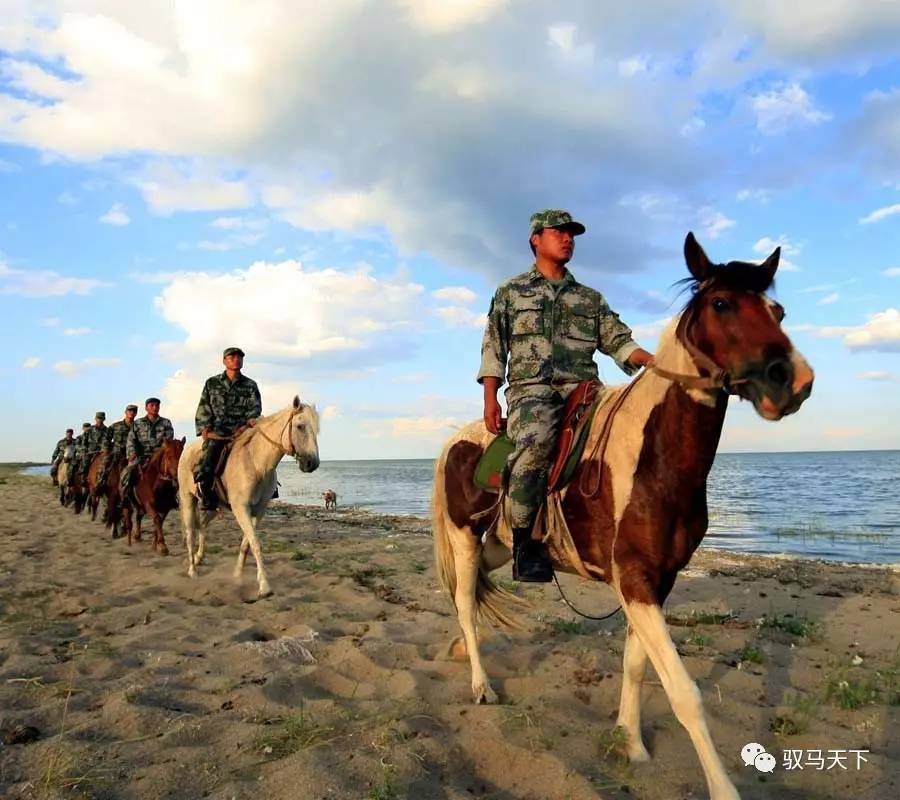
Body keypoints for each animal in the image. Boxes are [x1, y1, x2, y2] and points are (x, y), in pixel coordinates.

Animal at [176, 396, 320, 596]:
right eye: (300, 426)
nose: (312, 463)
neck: (257, 463)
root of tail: (187, 450)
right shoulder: (241, 509)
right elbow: (255, 543)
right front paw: (264, 585)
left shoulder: (258, 510)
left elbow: (247, 544)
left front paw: (238, 574)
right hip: (188, 499)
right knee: (190, 532)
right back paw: (192, 570)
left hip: (212, 506)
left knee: (201, 525)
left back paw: (199, 558)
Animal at [430, 233, 816, 800]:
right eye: (722, 304)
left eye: (778, 311)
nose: (793, 381)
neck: (656, 455)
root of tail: (458, 439)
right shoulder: (635, 579)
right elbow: (685, 693)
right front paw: (722, 787)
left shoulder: (656, 580)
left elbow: (636, 666)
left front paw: (631, 743)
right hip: (464, 534)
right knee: (462, 599)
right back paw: (481, 685)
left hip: (500, 544)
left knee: (474, 589)